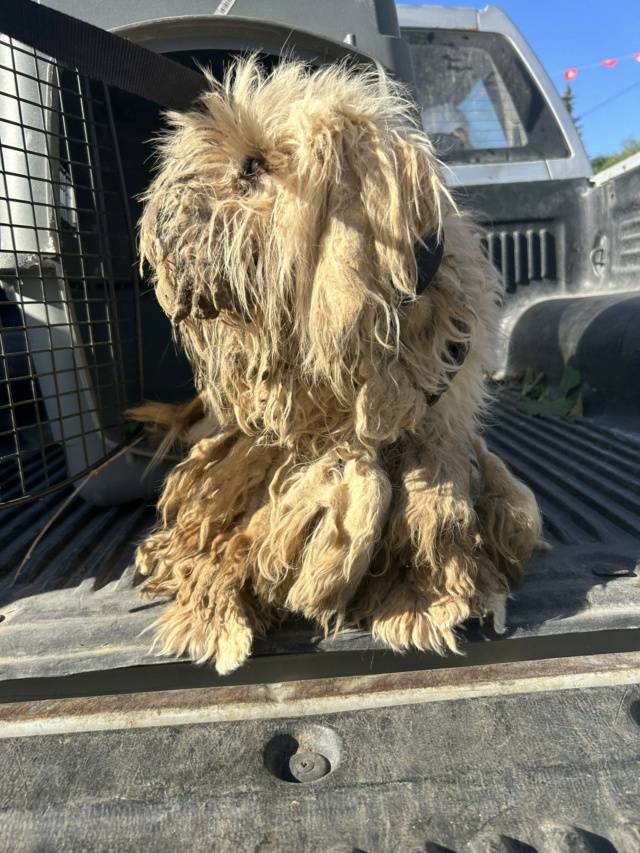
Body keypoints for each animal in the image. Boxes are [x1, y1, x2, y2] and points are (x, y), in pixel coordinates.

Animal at [133, 57, 542, 674]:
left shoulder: (439, 421)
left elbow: (431, 497)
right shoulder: (272, 445)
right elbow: (264, 509)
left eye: (253, 166)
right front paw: (214, 611)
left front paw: (422, 596)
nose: (159, 216)